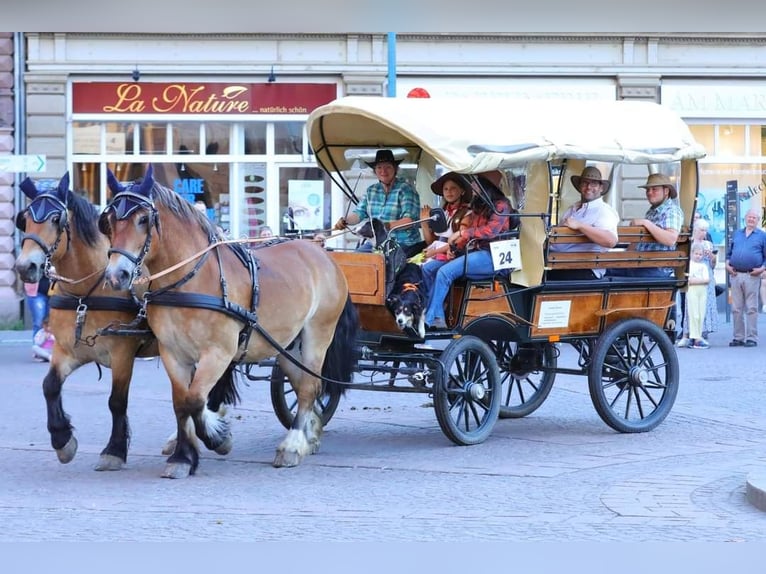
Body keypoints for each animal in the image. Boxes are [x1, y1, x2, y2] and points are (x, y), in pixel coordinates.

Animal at [14, 174, 240, 472]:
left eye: (55, 219)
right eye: (25, 219)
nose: (24, 267)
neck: (87, 293)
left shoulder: (122, 353)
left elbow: (117, 401)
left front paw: (114, 450)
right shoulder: (66, 350)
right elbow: (49, 386)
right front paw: (63, 440)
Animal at [100, 166, 360, 482]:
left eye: (143, 219)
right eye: (109, 222)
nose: (117, 275)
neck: (190, 279)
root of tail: (322, 253)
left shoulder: (218, 353)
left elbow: (195, 400)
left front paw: (217, 438)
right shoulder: (173, 354)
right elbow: (181, 403)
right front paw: (183, 456)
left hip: (317, 336)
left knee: (310, 386)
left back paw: (293, 444)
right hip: (286, 345)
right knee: (302, 386)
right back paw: (310, 433)